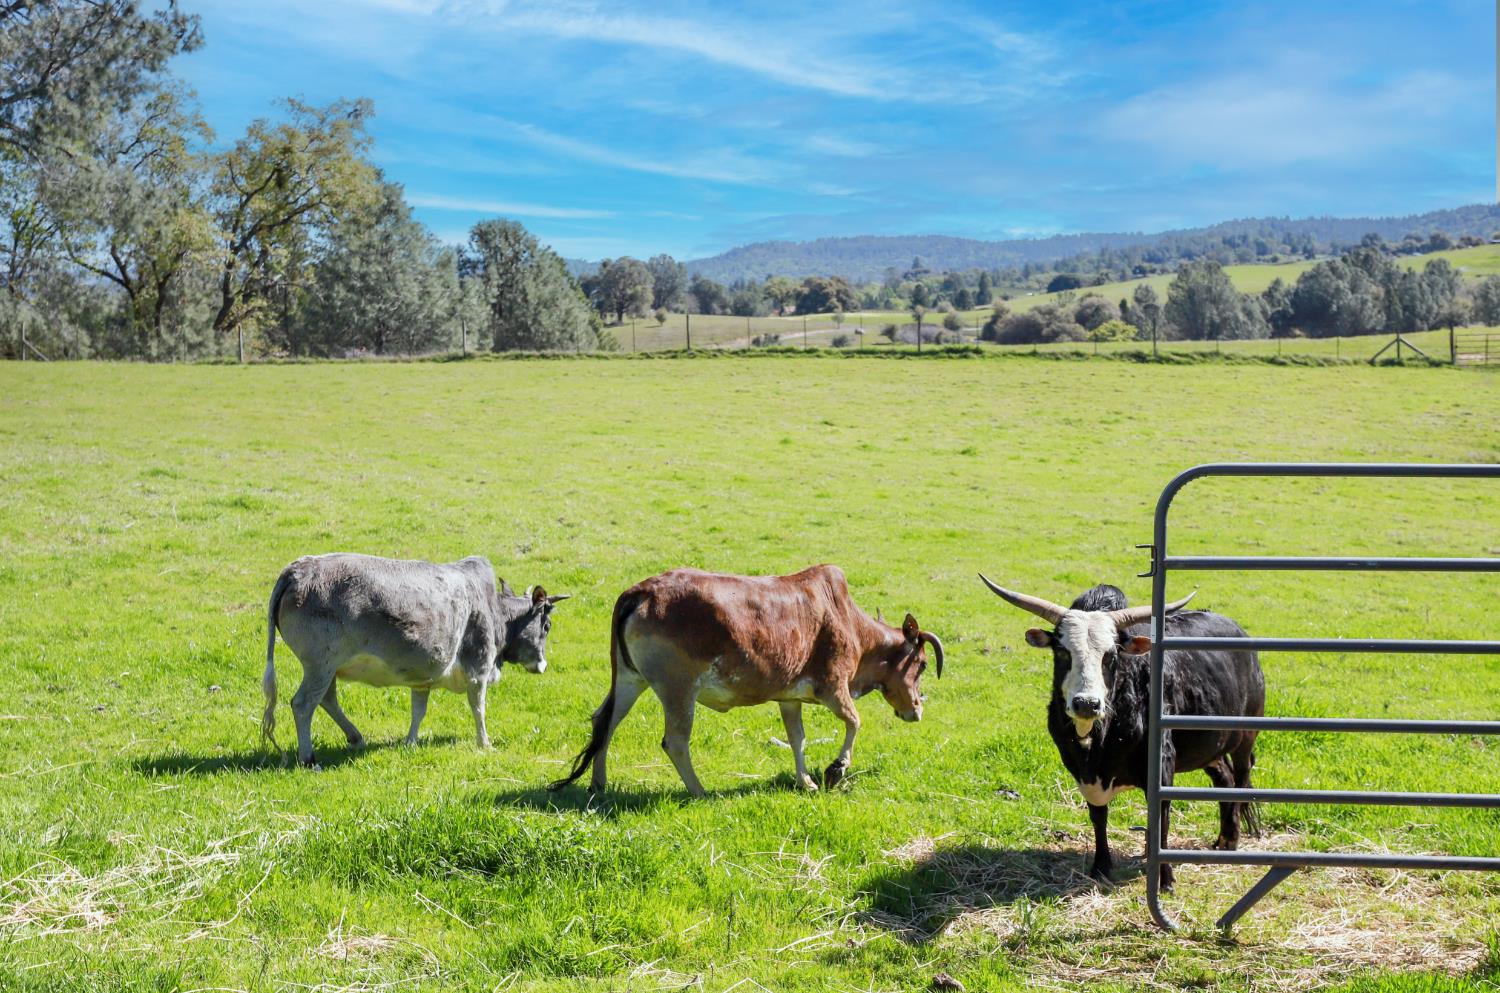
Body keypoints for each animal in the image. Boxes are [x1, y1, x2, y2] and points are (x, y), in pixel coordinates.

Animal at [262, 553, 570, 767]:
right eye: (547, 626)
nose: (542, 665)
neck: (492, 610)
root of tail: (296, 570)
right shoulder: (478, 669)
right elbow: (478, 709)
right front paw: (485, 743)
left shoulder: (422, 679)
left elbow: (418, 711)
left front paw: (410, 742)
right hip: (320, 665)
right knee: (304, 704)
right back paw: (308, 758)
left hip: (328, 668)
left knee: (327, 699)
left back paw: (355, 737)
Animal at [549, 565, 944, 797]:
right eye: (923, 664)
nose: (916, 709)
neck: (848, 621)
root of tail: (639, 593)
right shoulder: (833, 686)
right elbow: (854, 722)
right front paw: (836, 770)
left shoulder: (790, 697)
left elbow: (797, 739)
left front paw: (806, 781)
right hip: (678, 688)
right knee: (674, 741)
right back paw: (700, 791)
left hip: (631, 679)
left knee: (605, 722)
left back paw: (598, 784)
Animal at [979, 575, 1264, 890]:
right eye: (1063, 652)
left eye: (1110, 655)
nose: (1086, 704)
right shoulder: (1085, 773)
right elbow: (1098, 816)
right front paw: (1101, 866)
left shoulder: (1162, 767)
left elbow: (1161, 820)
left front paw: (1165, 879)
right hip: (1210, 747)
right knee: (1224, 778)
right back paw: (1223, 839)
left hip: (1246, 738)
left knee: (1240, 780)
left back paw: (1232, 840)